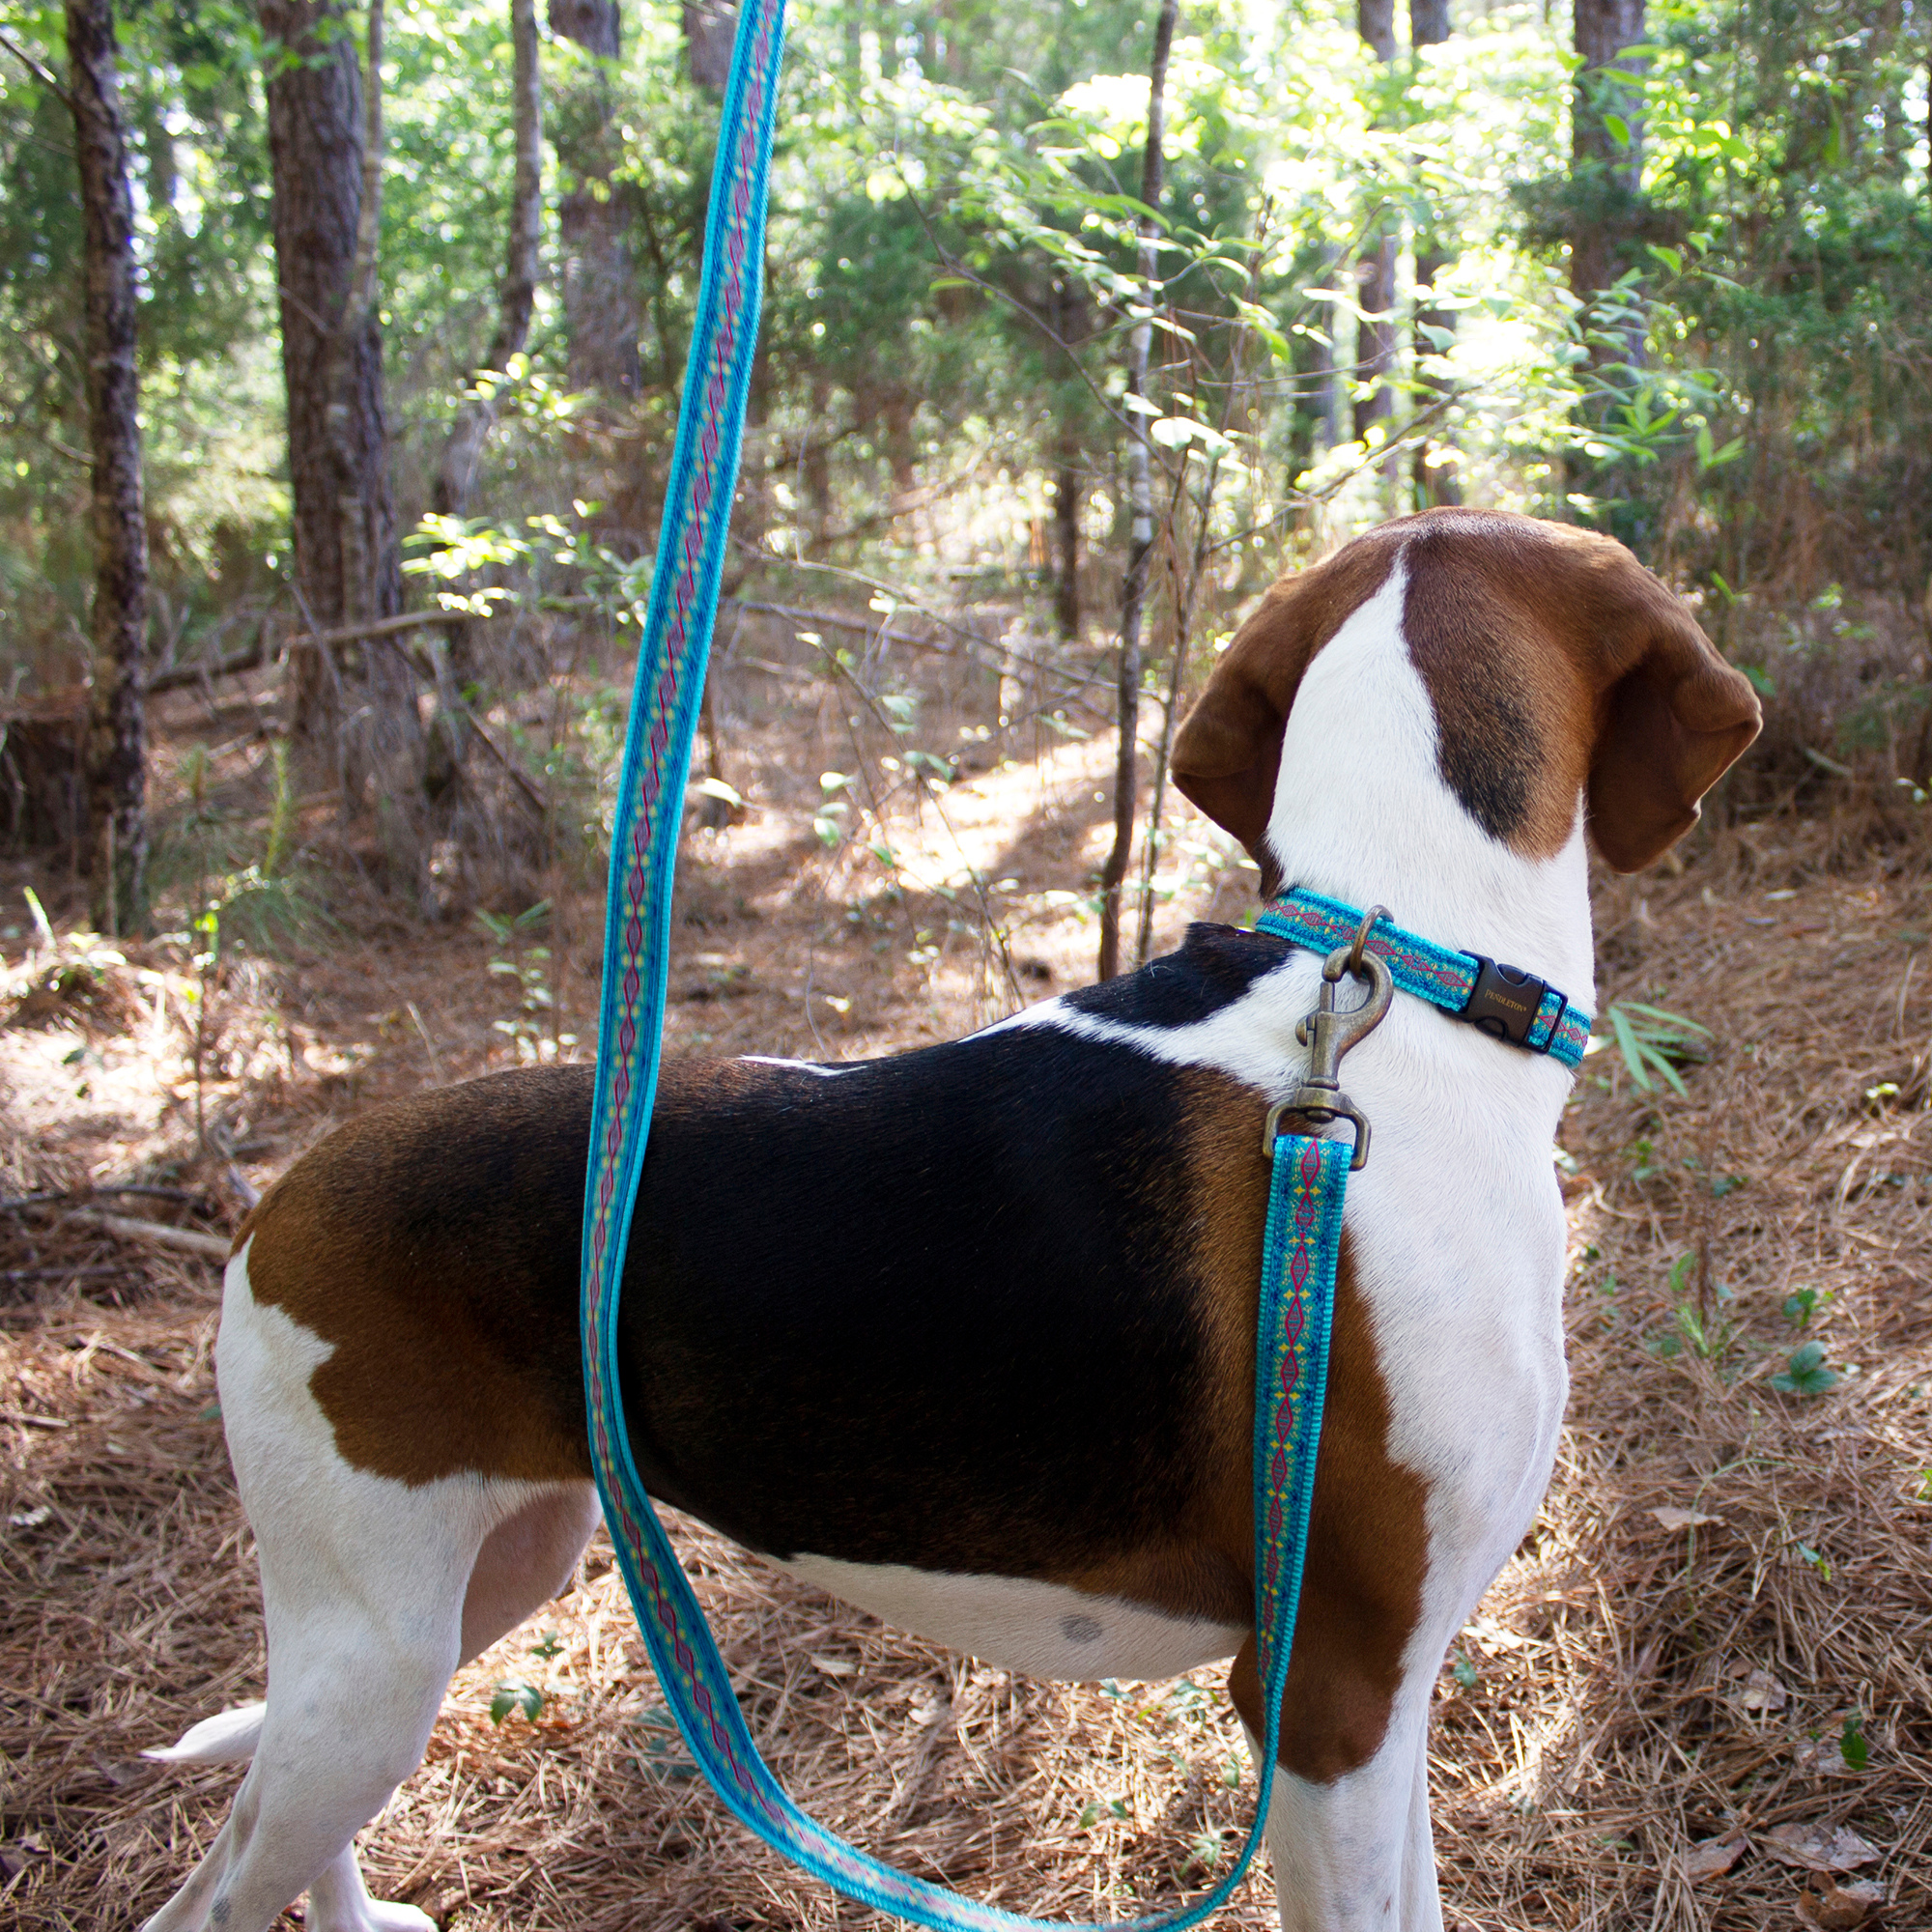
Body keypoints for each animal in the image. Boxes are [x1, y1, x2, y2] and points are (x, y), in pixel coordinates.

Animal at [143, 510, 1762, 1932]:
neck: (1397, 984)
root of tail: (284, 1190)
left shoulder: (1392, 1697)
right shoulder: (1331, 1696)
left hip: (478, 1585)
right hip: (374, 1657)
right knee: (208, 1894)